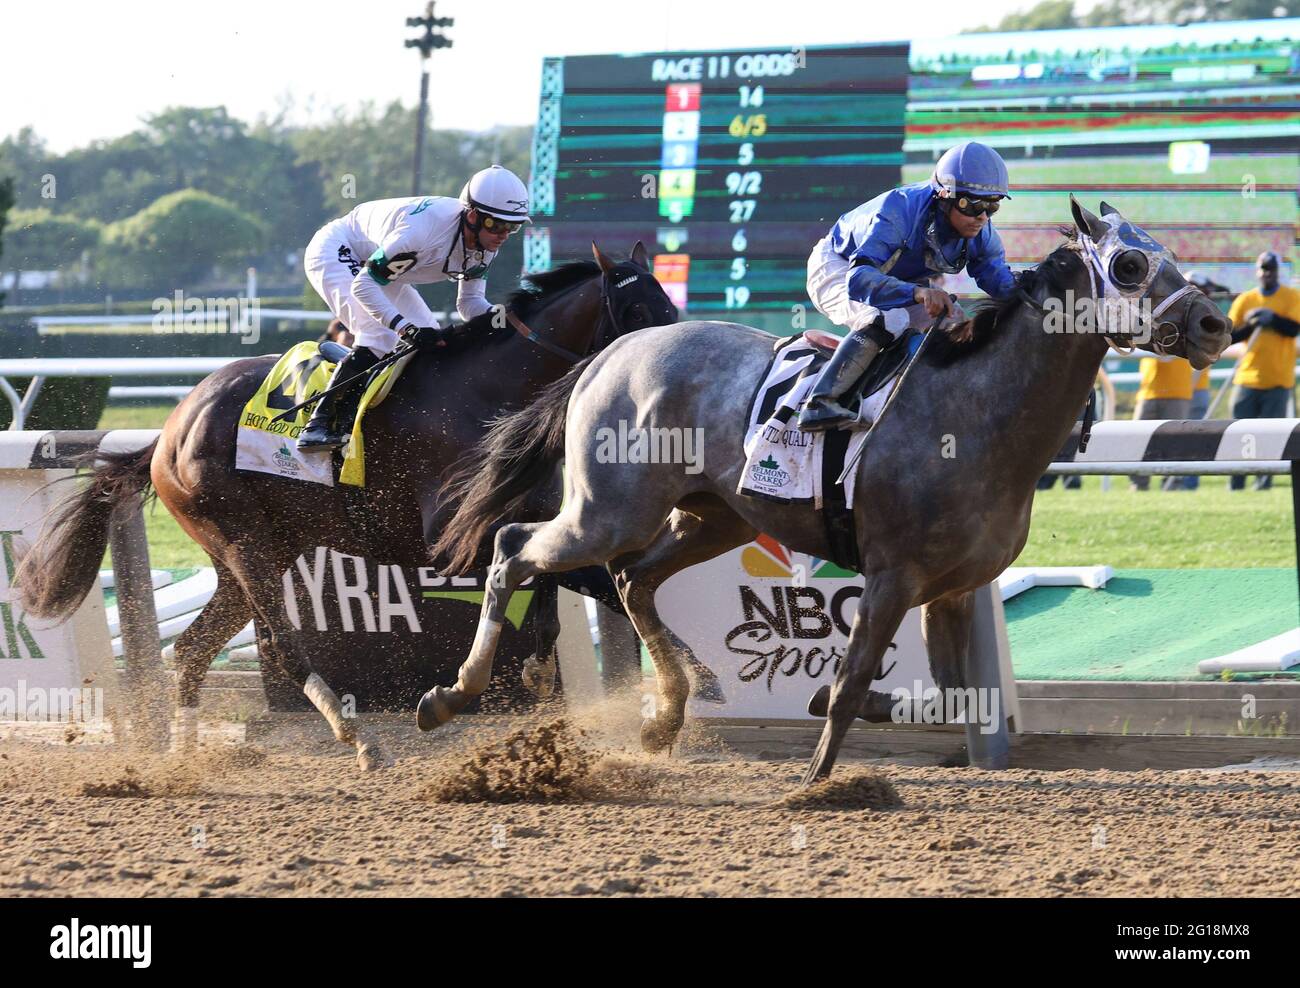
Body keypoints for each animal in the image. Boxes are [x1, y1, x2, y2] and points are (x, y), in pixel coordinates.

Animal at [17, 243, 681, 769]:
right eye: (636, 313)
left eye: (671, 312)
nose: (667, 368)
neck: (485, 392)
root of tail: (170, 427)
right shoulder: (447, 537)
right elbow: (562, 574)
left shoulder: (529, 514)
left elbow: (560, 580)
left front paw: (546, 671)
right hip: (241, 539)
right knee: (281, 647)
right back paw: (356, 736)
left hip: (260, 550)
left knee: (191, 650)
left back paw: (182, 760)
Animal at [423, 200, 1227, 785]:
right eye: (1129, 263)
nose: (1215, 323)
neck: (977, 414)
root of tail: (607, 354)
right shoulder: (892, 575)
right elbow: (849, 680)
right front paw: (815, 780)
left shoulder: (952, 587)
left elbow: (946, 691)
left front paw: (845, 710)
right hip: (608, 510)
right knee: (514, 548)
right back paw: (451, 695)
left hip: (714, 517)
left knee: (631, 579)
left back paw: (665, 716)